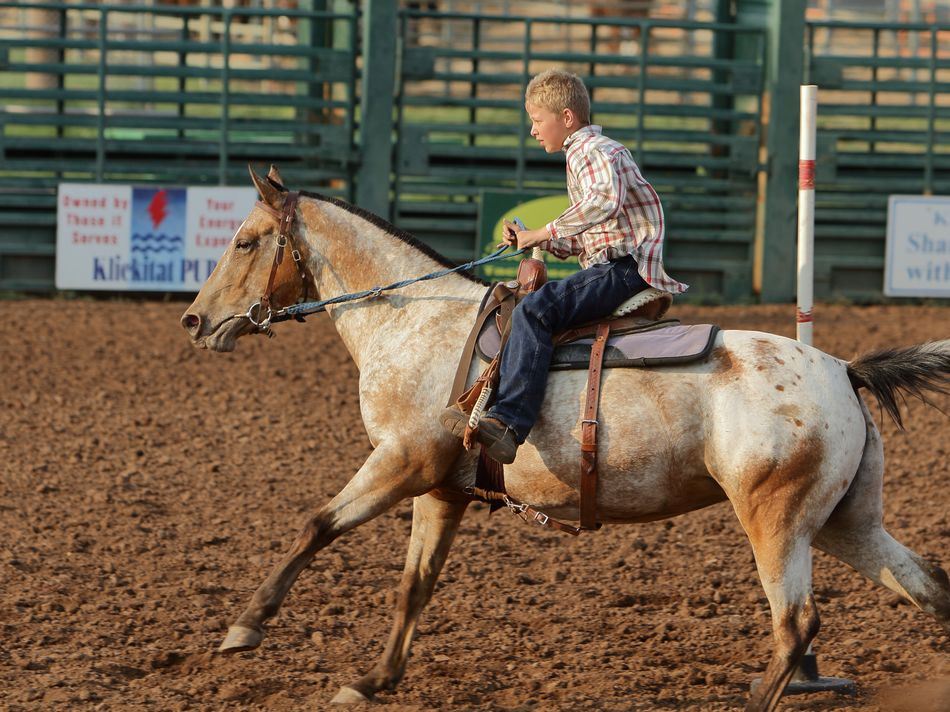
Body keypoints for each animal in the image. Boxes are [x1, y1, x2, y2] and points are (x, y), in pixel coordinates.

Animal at [180, 167, 950, 711]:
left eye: (244, 242)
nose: (194, 320)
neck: (413, 320)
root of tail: (844, 370)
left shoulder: (402, 461)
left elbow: (317, 525)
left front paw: (245, 628)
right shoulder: (441, 489)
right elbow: (414, 585)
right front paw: (373, 680)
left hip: (777, 521)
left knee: (795, 624)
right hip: (845, 521)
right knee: (927, 586)